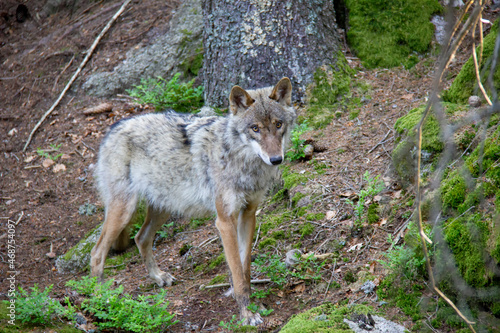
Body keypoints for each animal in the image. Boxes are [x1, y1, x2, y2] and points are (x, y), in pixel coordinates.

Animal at [90, 76, 296, 322]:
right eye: (255, 128)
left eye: (278, 125)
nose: (276, 159)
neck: (242, 161)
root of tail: (114, 127)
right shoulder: (224, 221)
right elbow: (237, 270)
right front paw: (246, 313)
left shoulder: (248, 214)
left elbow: (244, 267)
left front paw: (251, 304)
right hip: (124, 211)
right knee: (97, 253)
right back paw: (102, 299)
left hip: (163, 208)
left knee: (141, 238)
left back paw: (158, 277)